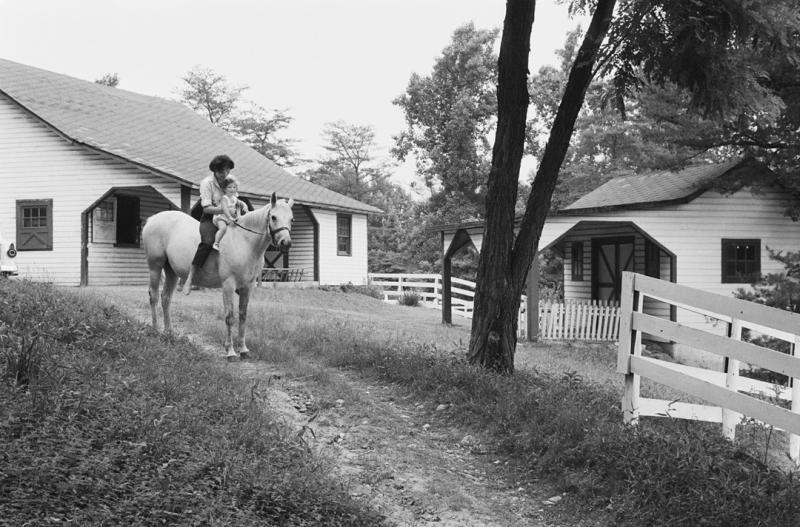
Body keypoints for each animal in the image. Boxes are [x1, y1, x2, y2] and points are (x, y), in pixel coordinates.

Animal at [144, 192, 294, 360]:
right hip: (155, 266)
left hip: (171, 272)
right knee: (154, 296)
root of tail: (152, 219)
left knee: (166, 298)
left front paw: (243, 349)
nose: (286, 243)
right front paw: (231, 352)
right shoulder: (228, 285)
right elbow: (230, 317)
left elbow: (243, 316)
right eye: (273, 217)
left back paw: (168, 333)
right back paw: (155, 330)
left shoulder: (247, 286)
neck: (244, 241)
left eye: (291, 219)